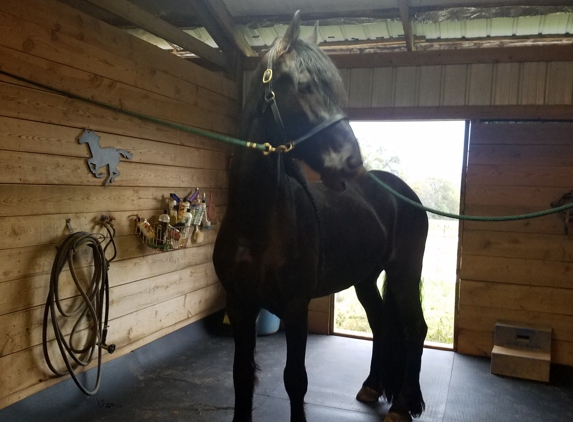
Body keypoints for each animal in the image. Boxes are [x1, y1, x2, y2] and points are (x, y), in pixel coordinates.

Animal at [212, 12, 426, 422]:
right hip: (365, 278)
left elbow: (296, 380)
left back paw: (403, 405)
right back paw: (372, 387)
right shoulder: (240, 306)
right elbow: (241, 377)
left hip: (405, 273)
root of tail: (403, 192)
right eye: (305, 86)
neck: (256, 225)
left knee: (415, 330)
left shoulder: (296, 308)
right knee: (381, 323)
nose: (352, 163)